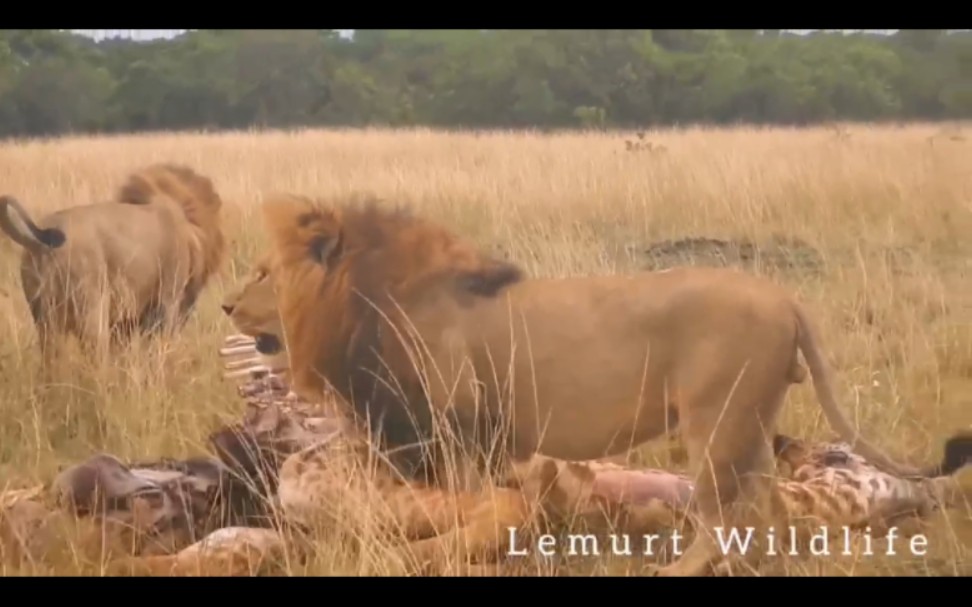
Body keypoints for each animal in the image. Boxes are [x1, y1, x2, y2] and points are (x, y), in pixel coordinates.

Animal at [0, 164, 227, 378]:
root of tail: (37, 241)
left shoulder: (124, 320)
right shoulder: (167, 302)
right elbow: (158, 349)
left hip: (45, 321)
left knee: (50, 362)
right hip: (92, 312)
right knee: (95, 358)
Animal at [254, 192, 968, 576]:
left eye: (262, 274)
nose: (232, 306)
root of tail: (785, 298)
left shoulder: (456, 426)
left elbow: (467, 506)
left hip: (715, 421)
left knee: (726, 517)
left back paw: (677, 569)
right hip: (753, 422)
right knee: (766, 512)